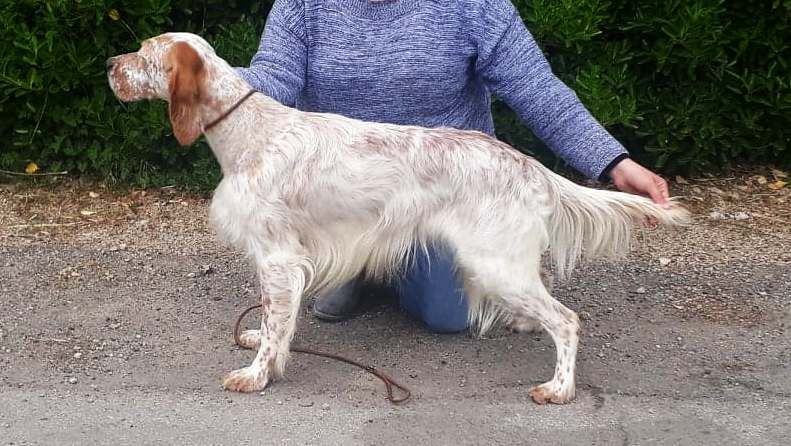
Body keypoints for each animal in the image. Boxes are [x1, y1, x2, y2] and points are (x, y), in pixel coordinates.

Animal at [106, 34, 688, 404]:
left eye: (146, 52)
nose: (110, 63)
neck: (248, 132)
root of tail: (527, 164)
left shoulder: (278, 257)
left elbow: (275, 325)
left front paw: (255, 375)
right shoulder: (286, 263)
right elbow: (276, 323)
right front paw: (258, 346)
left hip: (491, 260)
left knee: (566, 320)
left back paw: (559, 388)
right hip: (501, 260)